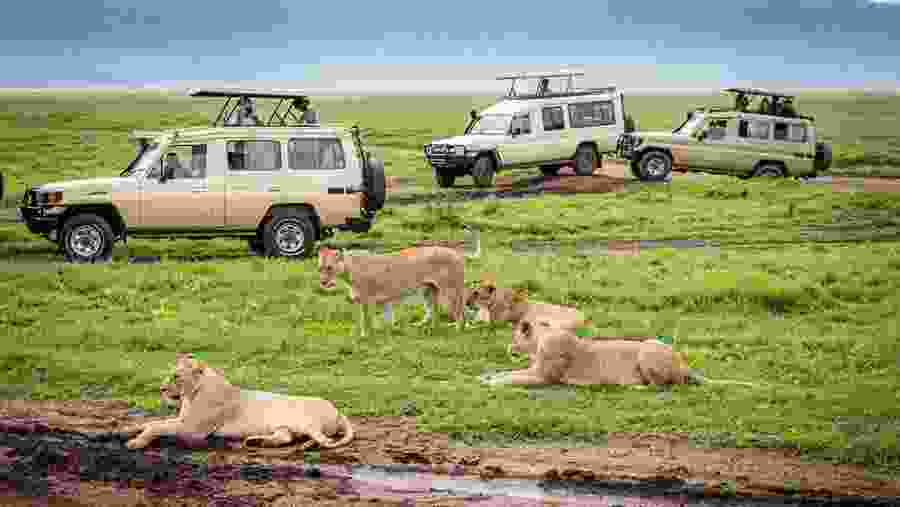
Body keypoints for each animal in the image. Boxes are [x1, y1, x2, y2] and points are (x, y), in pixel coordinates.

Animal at [125, 353, 355, 450]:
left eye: (176, 377)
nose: (161, 389)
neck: (191, 395)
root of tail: (337, 409)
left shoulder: (192, 429)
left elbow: (156, 427)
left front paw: (136, 442)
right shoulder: (183, 421)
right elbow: (151, 422)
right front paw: (128, 429)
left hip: (305, 421)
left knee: (325, 440)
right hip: (286, 427)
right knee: (287, 437)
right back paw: (257, 441)